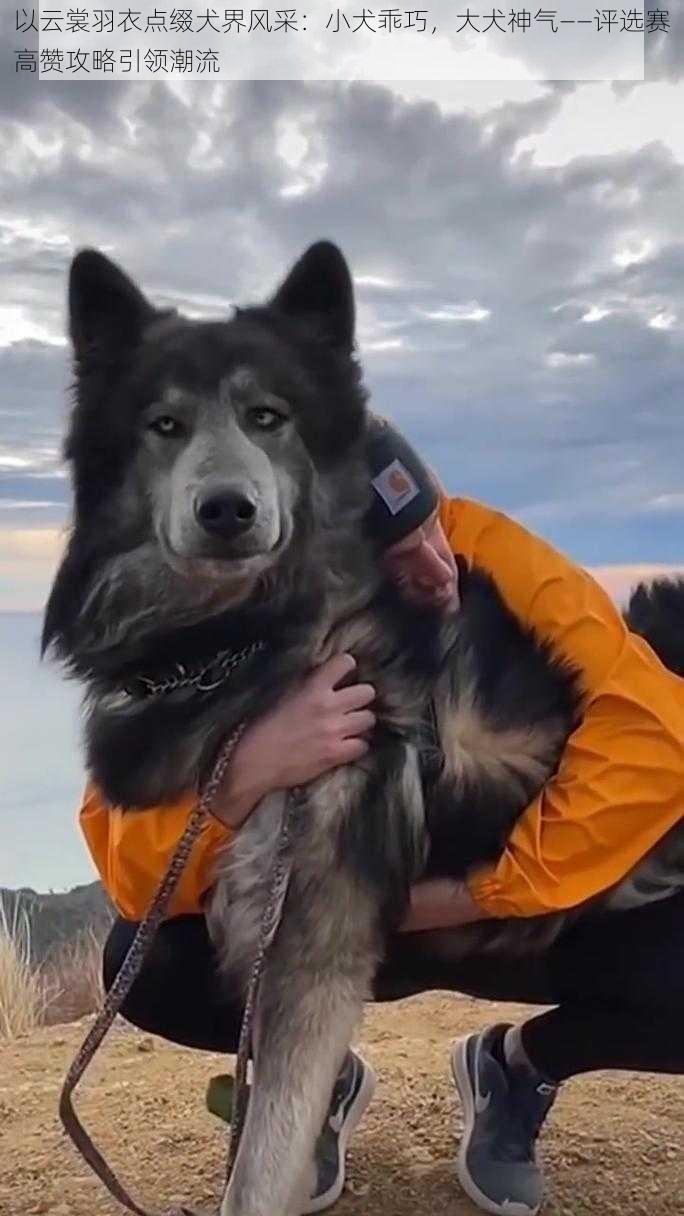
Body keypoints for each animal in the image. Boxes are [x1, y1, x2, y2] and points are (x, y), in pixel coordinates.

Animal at [43, 241, 681, 1211]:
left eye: (268, 417)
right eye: (165, 425)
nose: (226, 510)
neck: (246, 641)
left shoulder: (316, 936)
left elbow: (258, 1165)